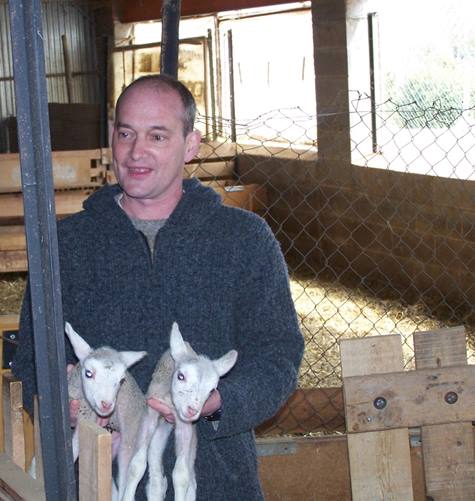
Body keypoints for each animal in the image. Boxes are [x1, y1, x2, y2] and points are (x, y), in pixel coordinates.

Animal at [65, 322, 147, 498]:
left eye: (121, 380)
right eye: (88, 373)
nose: (107, 404)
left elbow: (74, 449)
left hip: (131, 433)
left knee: (129, 473)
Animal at [122, 320, 238, 500]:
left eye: (212, 390)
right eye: (181, 376)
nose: (192, 410)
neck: (171, 403)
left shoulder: (186, 426)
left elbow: (181, 475)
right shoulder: (151, 410)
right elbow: (136, 465)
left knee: (191, 477)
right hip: (161, 429)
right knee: (155, 465)